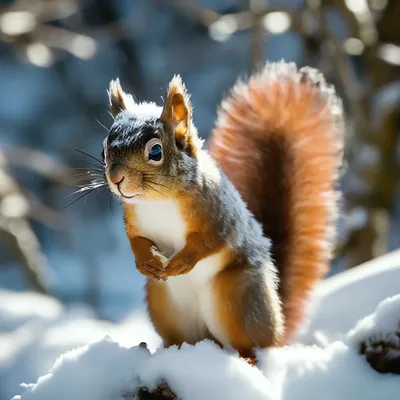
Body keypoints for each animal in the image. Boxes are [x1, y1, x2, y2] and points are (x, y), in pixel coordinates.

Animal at [102, 61, 344, 358]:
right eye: (104, 150)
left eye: (156, 152)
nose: (116, 178)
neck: (158, 201)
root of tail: (277, 329)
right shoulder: (134, 218)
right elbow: (136, 240)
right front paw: (145, 261)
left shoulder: (219, 216)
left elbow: (208, 242)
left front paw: (180, 263)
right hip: (164, 304)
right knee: (183, 338)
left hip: (235, 298)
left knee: (249, 346)